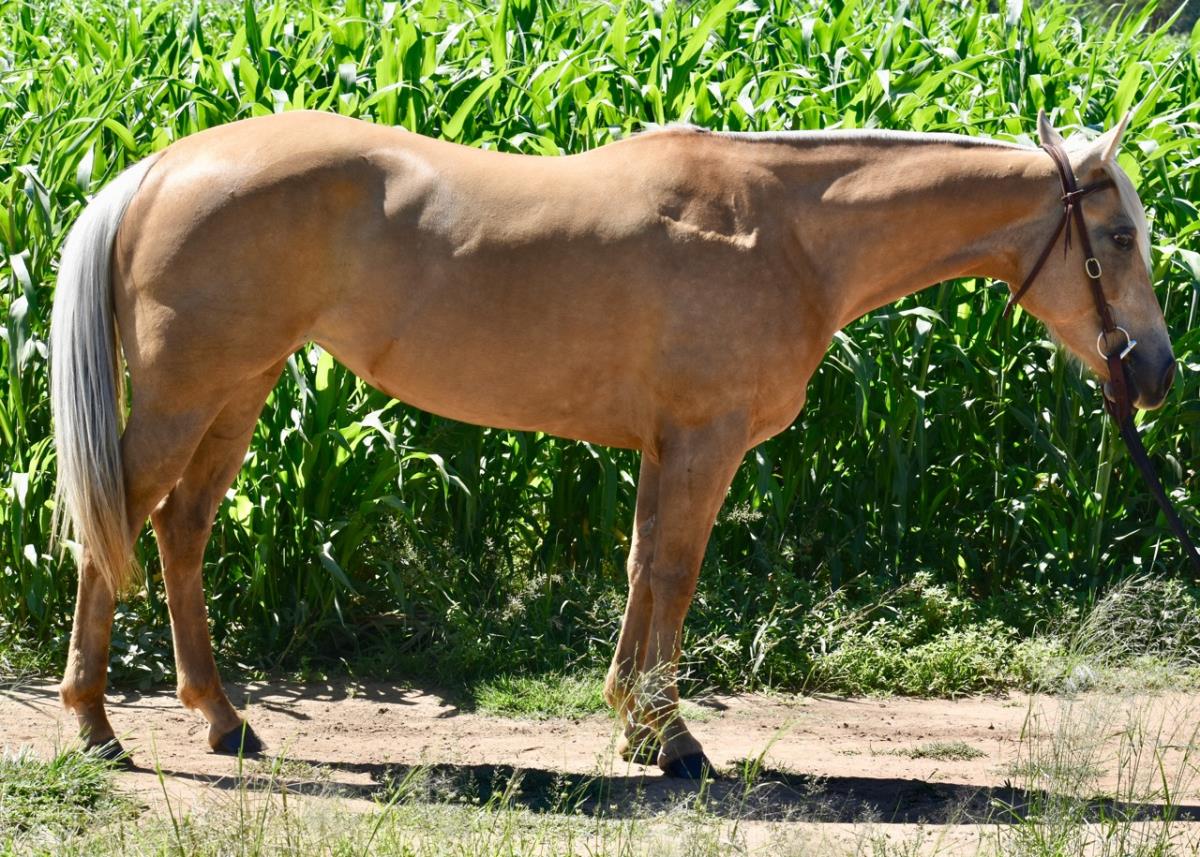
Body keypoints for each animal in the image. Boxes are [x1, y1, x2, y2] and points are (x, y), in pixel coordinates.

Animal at [51, 109, 1175, 777]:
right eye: (1118, 238)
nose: (1157, 372)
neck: (785, 230)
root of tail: (162, 167)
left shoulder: (664, 446)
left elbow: (641, 571)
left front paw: (636, 724)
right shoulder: (705, 442)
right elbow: (676, 574)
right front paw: (673, 739)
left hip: (236, 393)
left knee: (182, 532)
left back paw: (224, 719)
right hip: (186, 399)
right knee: (114, 529)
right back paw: (96, 726)